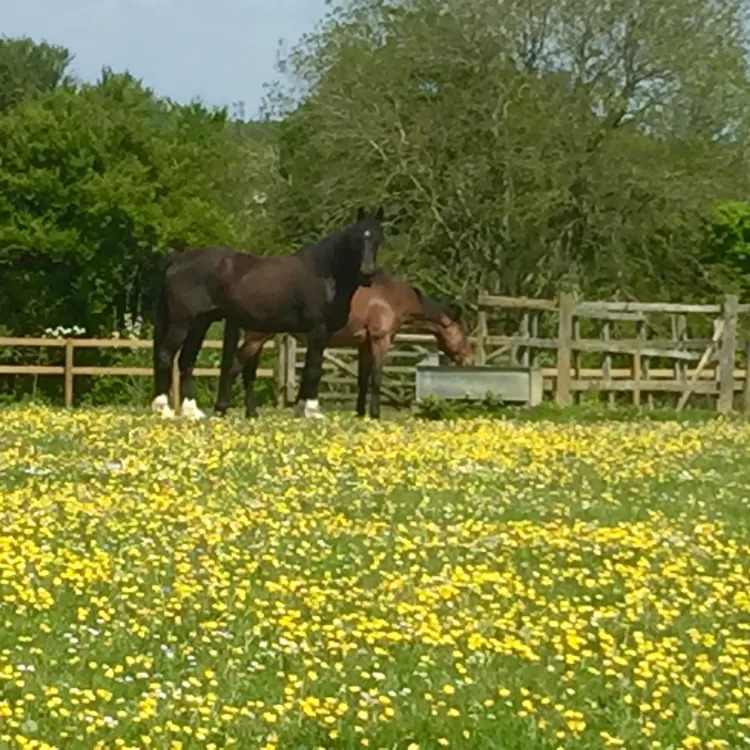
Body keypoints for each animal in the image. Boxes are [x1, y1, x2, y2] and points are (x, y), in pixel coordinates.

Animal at [153, 209, 388, 420]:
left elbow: (308, 371)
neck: (325, 272)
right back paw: (163, 409)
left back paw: (192, 411)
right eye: (358, 238)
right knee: (166, 354)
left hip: (200, 322)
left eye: (378, 239)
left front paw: (300, 409)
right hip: (183, 322)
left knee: (186, 361)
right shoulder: (318, 330)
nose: (367, 273)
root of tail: (178, 258)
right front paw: (313, 411)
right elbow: (314, 370)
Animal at [217, 272, 472, 424]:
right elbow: (376, 378)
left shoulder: (364, 345)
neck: (390, 298)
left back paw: (251, 413)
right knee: (236, 366)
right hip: (256, 338)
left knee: (247, 371)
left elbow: (363, 380)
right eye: (462, 333)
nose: (469, 360)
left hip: (257, 339)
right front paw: (375, 414)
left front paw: (360, 413)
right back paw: (224, 409)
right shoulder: (380, 341)